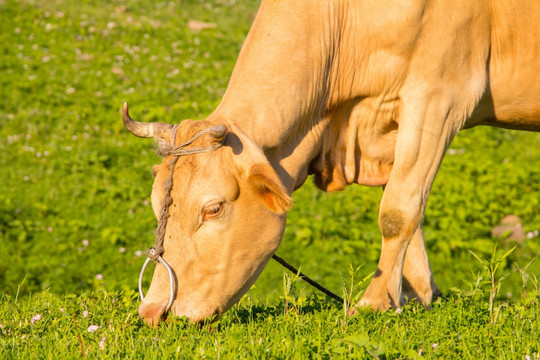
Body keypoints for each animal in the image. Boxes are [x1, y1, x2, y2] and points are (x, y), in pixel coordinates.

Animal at [122, 0, 540, 326]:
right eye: (157, 205)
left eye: (213, 208)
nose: (153, 312)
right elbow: (407, 205)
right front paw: (418, 296)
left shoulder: (440, 95)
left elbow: (398, 210)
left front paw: (375, 301)